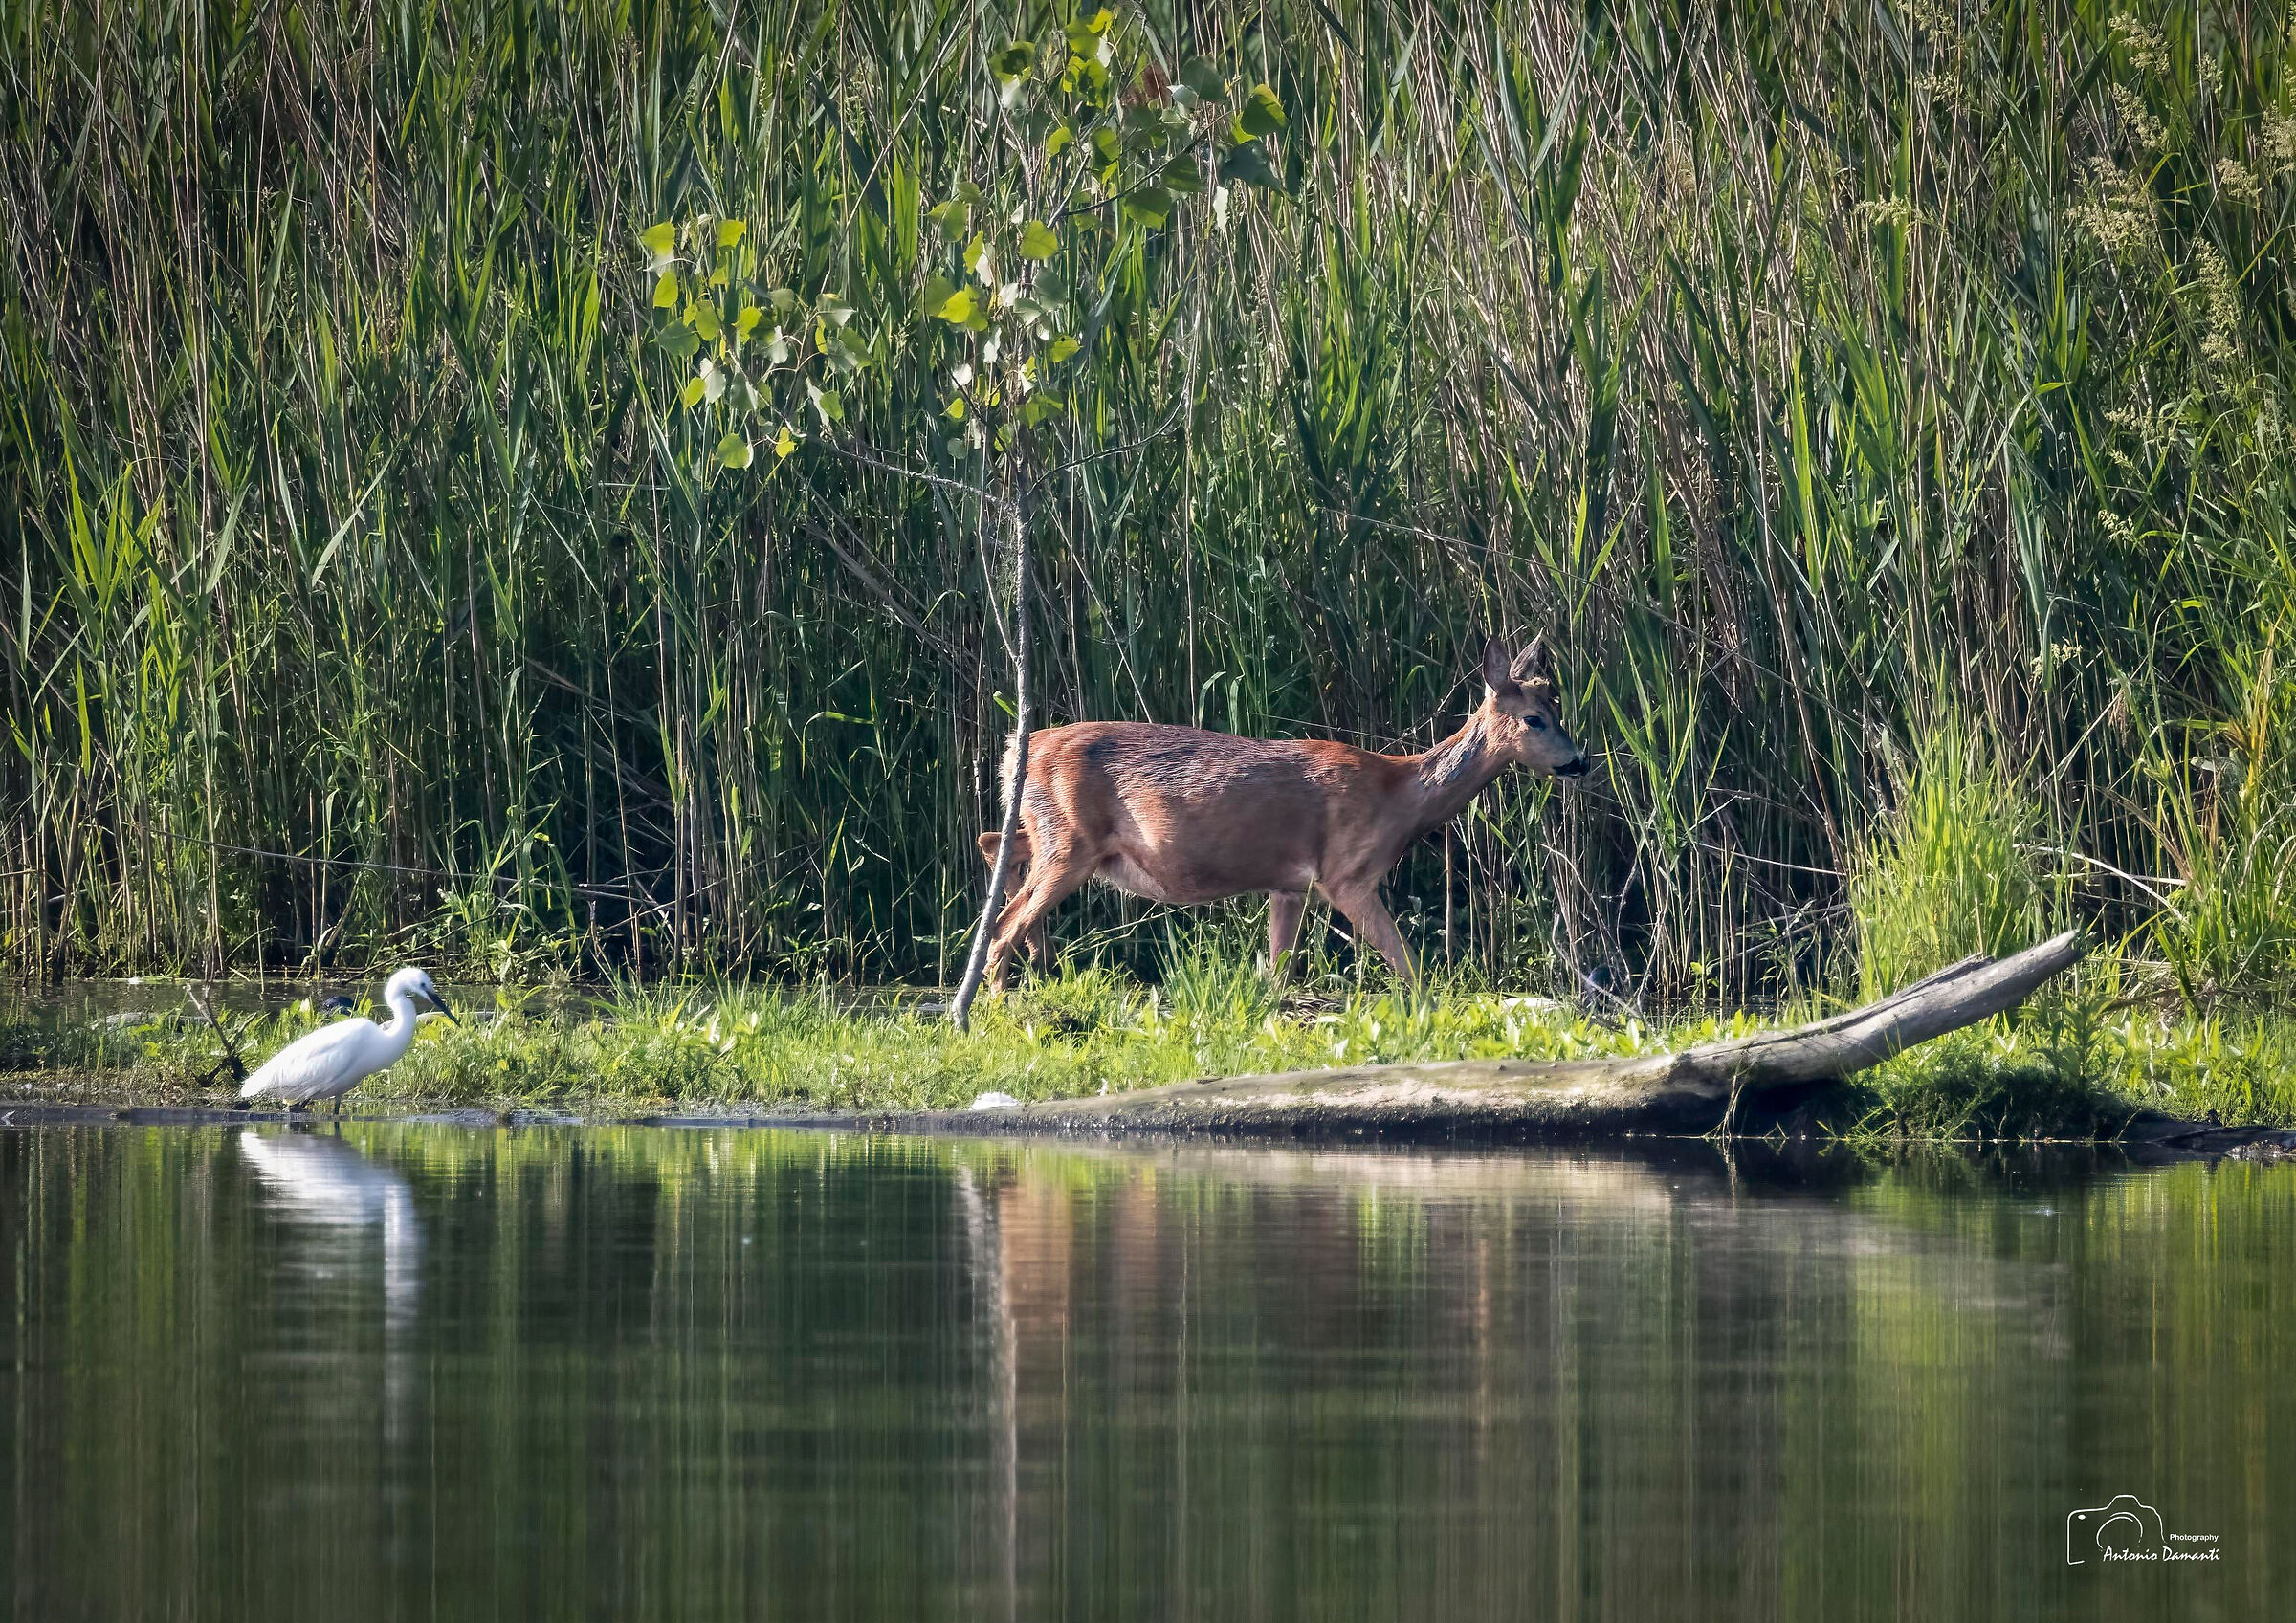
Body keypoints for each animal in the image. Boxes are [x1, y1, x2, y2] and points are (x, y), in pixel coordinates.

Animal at [973, 635, 1589, 992]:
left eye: (1558, 706)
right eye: (1534, 718)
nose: (1579, 763)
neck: (1398, 796)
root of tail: (1015, 749)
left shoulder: (1289, 886)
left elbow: (1276, 975)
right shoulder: (1346, 874)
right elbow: (1408, 965)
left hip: (1048, 832)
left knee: (992, 847)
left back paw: (1039, 971)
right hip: (1069, 842)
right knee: (1005, 926)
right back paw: (1002, 1005)